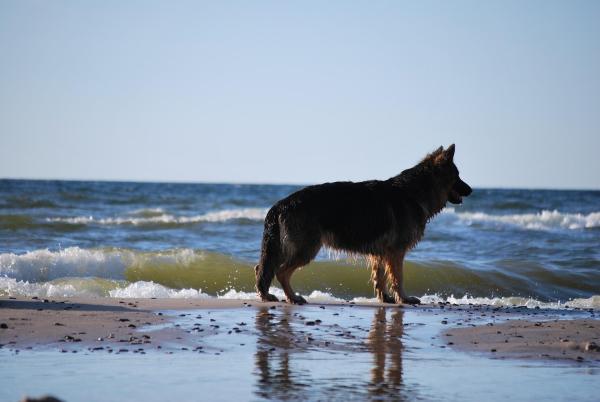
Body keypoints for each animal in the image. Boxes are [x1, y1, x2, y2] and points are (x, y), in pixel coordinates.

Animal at [255, 144, 472, 304]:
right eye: (458, 176)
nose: (471, 190)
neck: (414, 192)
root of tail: (281, 203)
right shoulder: (396, 251)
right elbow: (398, 278)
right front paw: (404, 298)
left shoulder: (381, 253)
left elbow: (380, 278)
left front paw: (385, 298)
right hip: (304, 249)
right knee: (280, 271)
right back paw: (292, 297)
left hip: (287, 247)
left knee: (263, 268)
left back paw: (268, 295)